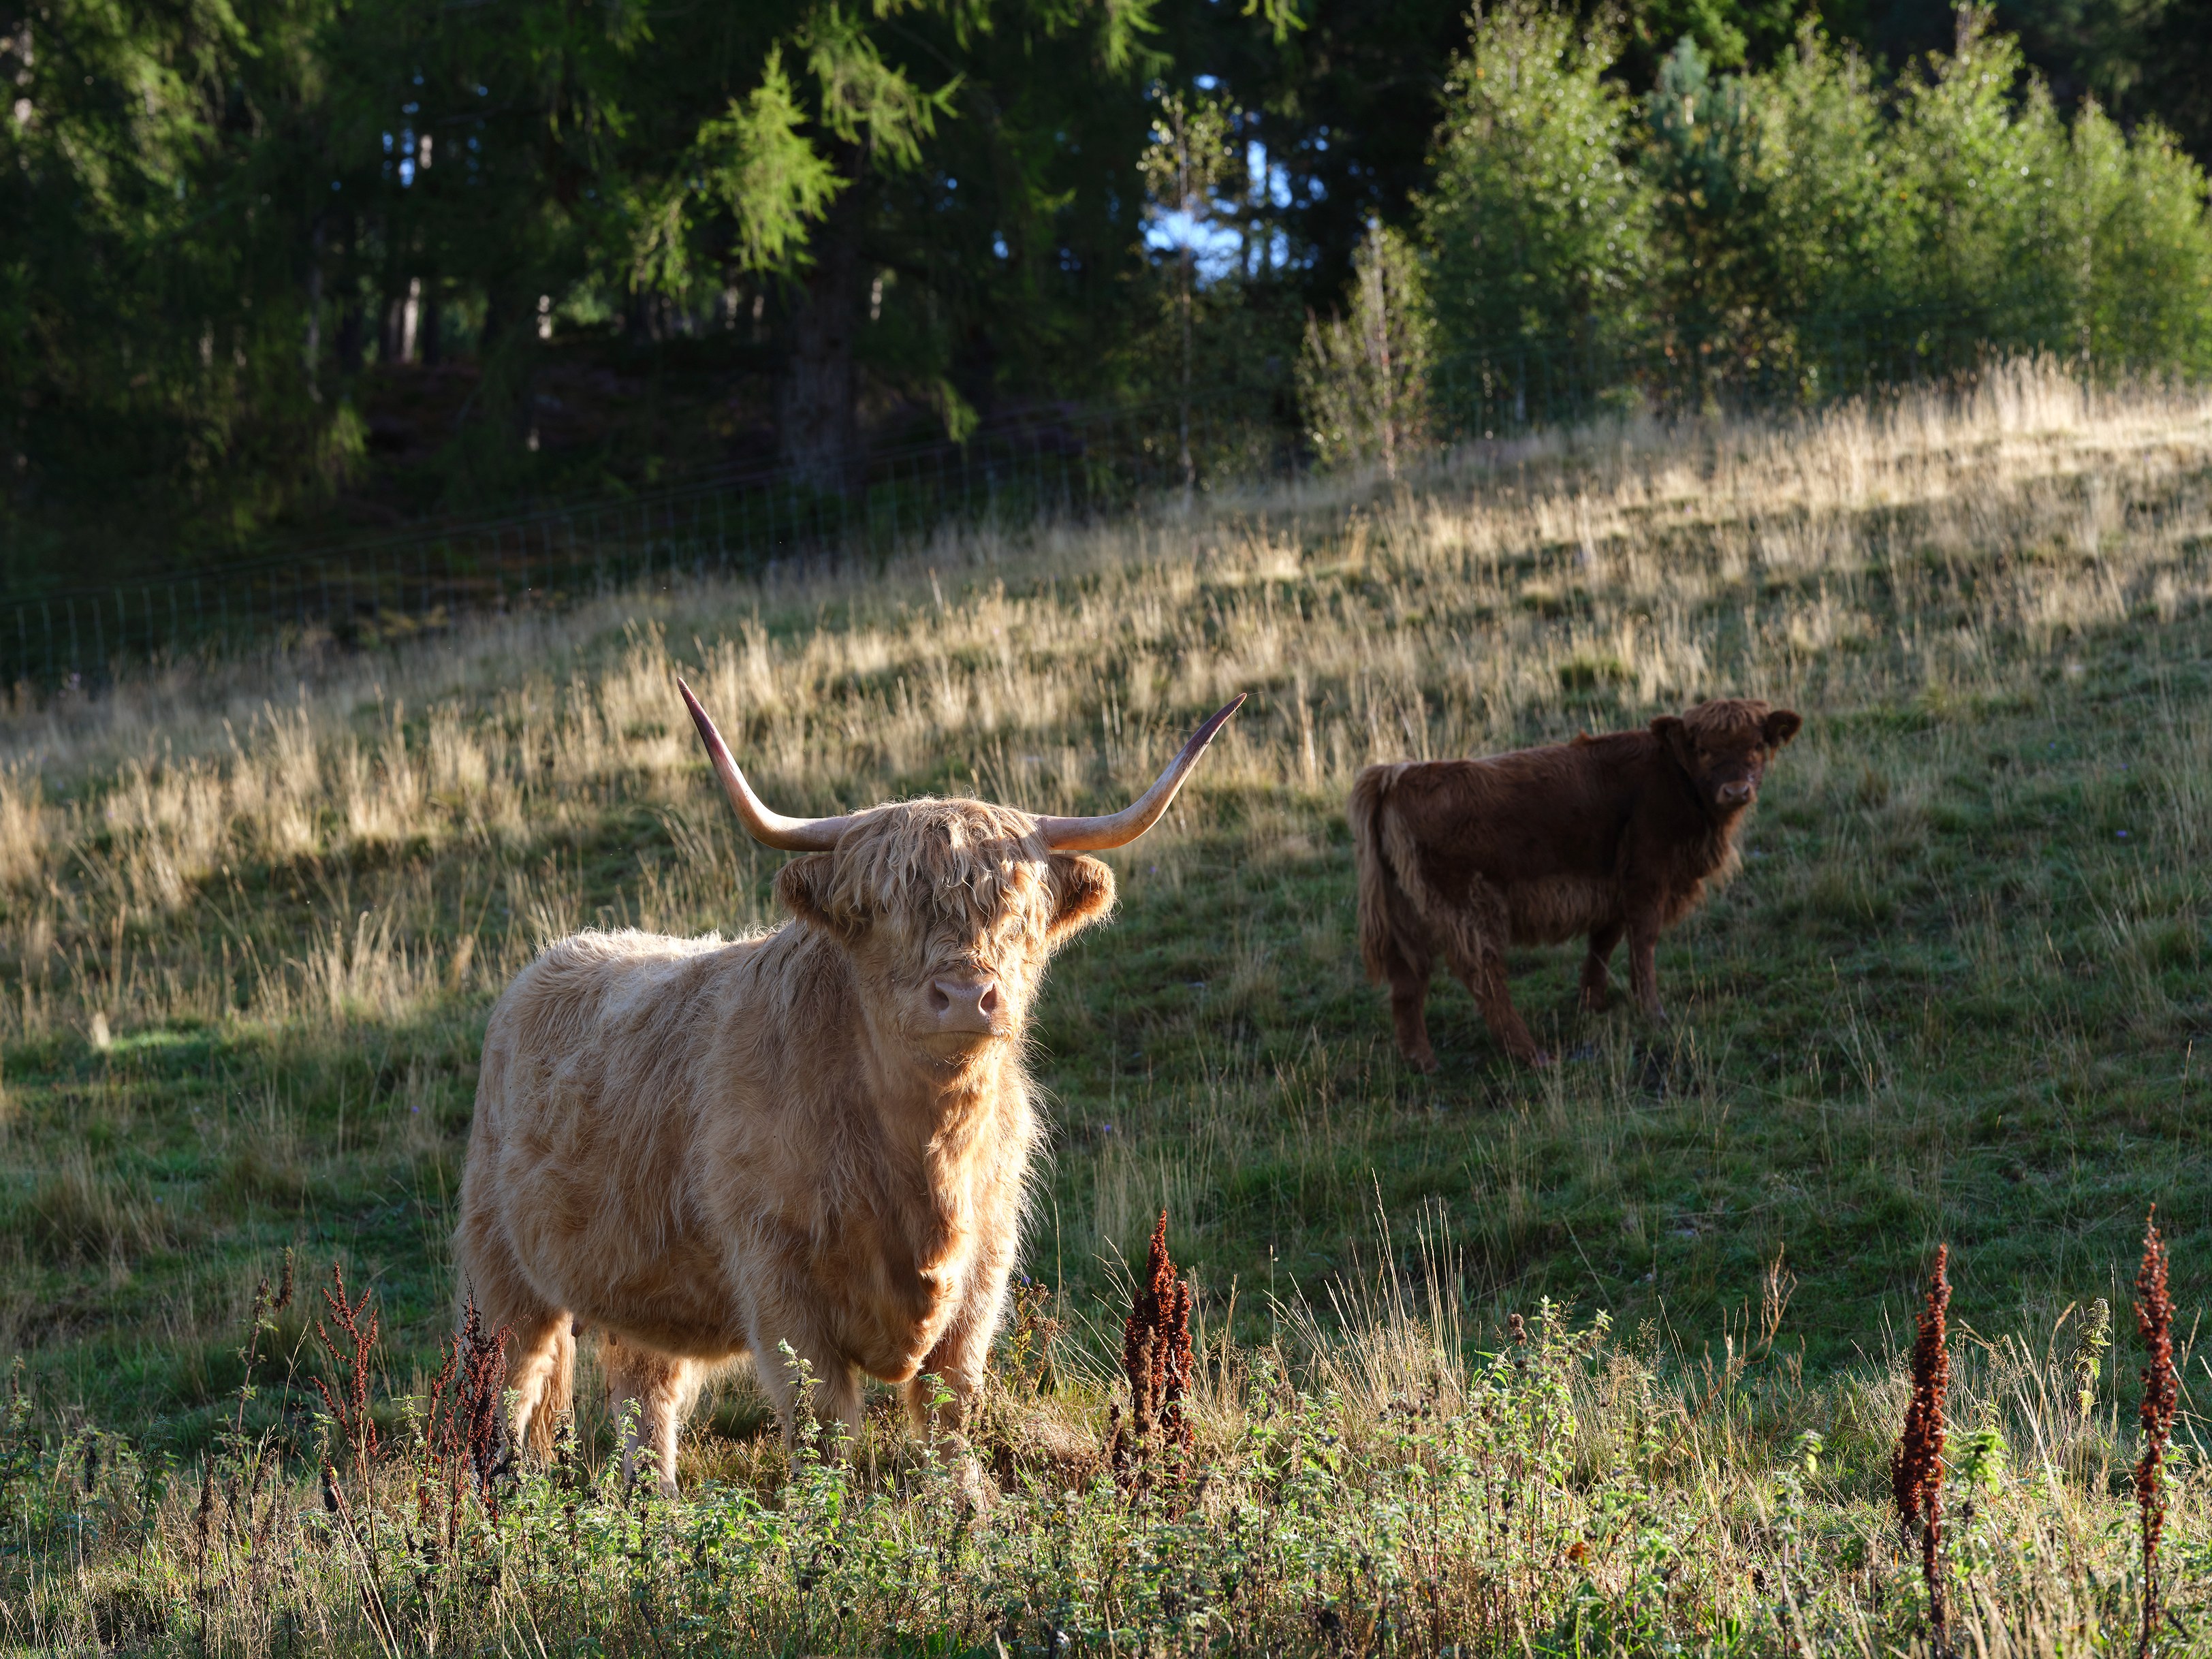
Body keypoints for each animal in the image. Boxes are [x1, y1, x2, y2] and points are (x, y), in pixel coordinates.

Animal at [453, 682, 1243, 1492]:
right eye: (881, 910)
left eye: (1018, 912)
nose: (966, 997)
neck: (923, 1155)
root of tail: (562, 954)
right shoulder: (778, 1283)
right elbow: (823, 1429)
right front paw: (826, 1519)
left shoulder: (983, 1269)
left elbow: (952, 1412)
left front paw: (972, 1513)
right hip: (500, 1272)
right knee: (505, 1393)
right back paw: (499, 1502)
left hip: (641, 1292)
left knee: (645, 1398)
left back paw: (658, 1509)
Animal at [1350, 698, 1800, 1069]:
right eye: (1704, 750)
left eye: (1756, 746)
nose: (1736, 790)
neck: (1674, 778)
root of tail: (1398, 776)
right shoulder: (1646, 879)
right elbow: (1642, 943)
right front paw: (1652, 1013)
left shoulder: (1612, 887)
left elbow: (1603, 943)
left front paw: (1592, 1004)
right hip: (1469, 910)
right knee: (1484, 978)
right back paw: (1532, 1055)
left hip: (1406, 919)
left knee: (1407, 985)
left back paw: (1422, 1062)